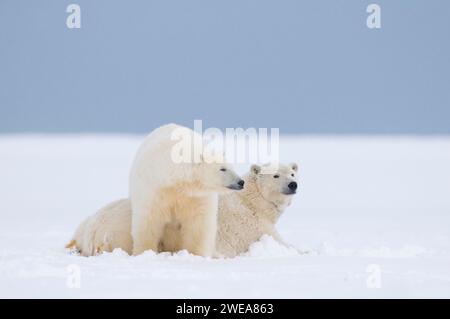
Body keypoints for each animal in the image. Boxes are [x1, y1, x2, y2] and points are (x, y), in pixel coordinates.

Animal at [67, 164, 298, 258]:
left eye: (293, 172)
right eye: (276, 175)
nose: (293, 184)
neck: (250, 200)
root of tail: (92, 231)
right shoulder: (251, 225)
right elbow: (278, 242)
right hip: (122, 232)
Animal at [128, 124, 244, 256]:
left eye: (231, 167)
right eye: (223, 169)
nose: (241, 182)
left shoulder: (196, 197)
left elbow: (198, 225)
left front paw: (195, 254)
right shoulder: (154, 189)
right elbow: (148, 221)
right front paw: (144, 252)